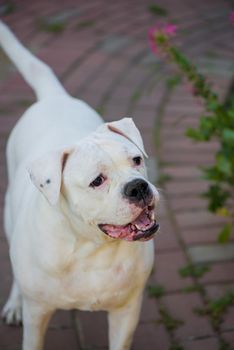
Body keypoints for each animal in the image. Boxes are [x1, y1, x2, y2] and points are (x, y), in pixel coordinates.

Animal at [0, 21, 159, 350]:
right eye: (97, 181)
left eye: (136, 160)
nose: (138, 187)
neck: (90, 248)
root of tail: (54, 97)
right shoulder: (37, 315)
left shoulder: (126, 312)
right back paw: (14, 303)